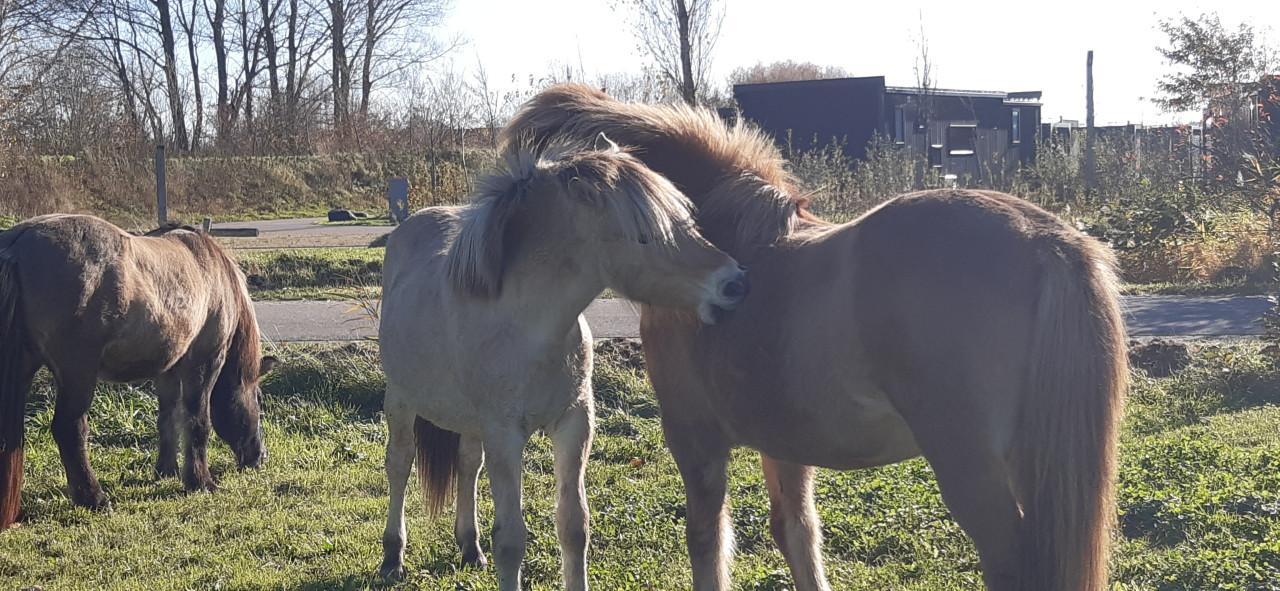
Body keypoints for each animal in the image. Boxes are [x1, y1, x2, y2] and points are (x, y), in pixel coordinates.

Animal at [0, 215, 276, 530]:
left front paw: (166, 470)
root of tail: (17, 244)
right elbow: (198, 420)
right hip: (77, 374)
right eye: (258, 398)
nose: (260, 456)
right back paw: (94, 498)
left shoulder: (168, 369)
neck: (211, 269)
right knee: (70, 429)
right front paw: (200, 481)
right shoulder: (204, 361)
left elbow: (168, 418)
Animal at [376, 137, 748, 591]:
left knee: (467, 465)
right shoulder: (505, 436)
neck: (525, 327)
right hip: (401, 401)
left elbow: (573, 526)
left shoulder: (574, 424)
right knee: (400, 464)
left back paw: (470, 547)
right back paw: (392, 556)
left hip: (468, 421)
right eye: (644, 236)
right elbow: (511, 540)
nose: (733, 283)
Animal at [501, 85, 1128, 591]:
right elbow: (796, 533)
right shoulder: (784, 441)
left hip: (970, 464)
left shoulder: (694, 436)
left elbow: (707, 541)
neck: (731, 241)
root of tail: (1048, 241)